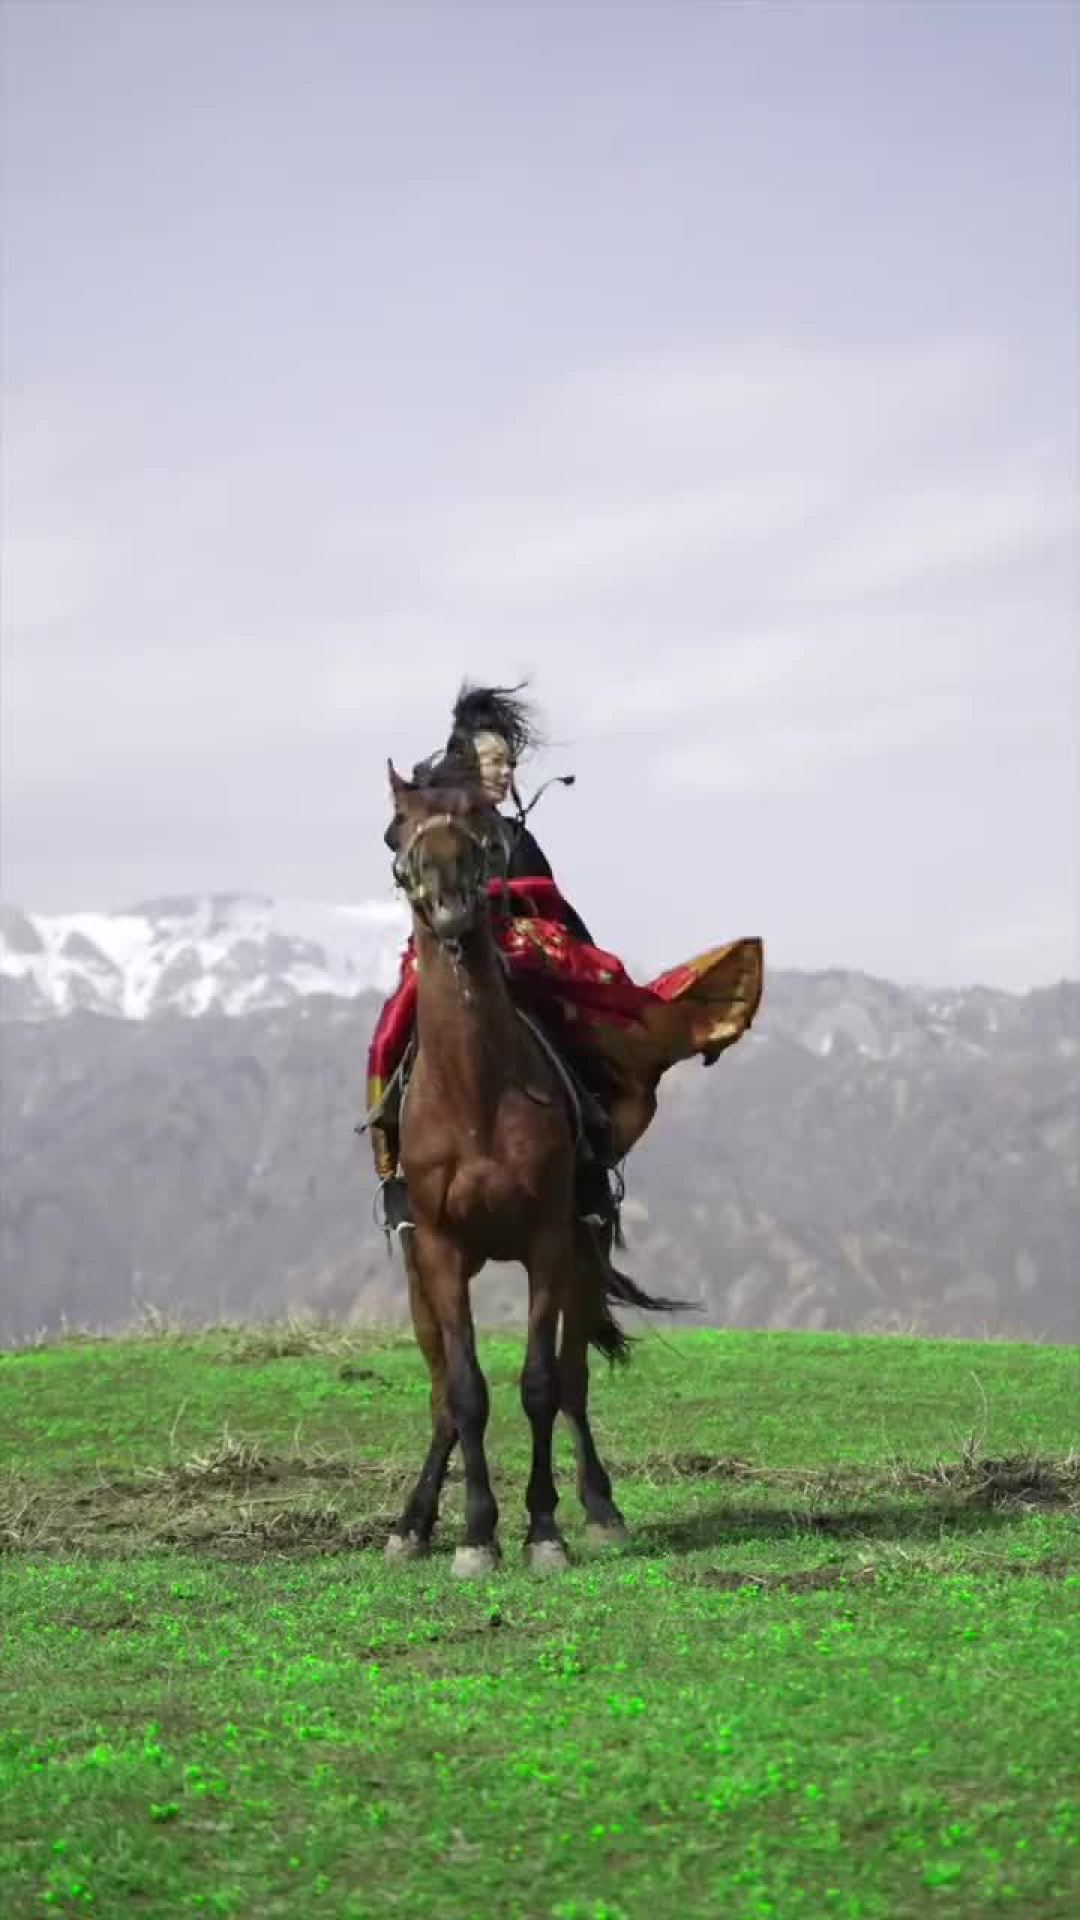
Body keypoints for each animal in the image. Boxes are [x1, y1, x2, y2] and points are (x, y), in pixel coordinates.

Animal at [381, 759, 678, 1578]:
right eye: (396, 832)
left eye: (487, 831)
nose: (451, 907)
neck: (474, 1096)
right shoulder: (441, 1251)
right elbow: (465, 1393)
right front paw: (475, 1535)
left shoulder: (548, 1241)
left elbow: (542, 1384)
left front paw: (543, 1529)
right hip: (417, 1271)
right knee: (440, 1397)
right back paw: (414, 1522)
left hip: (582, 1253)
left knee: (573, 1381)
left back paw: (601, 1509)